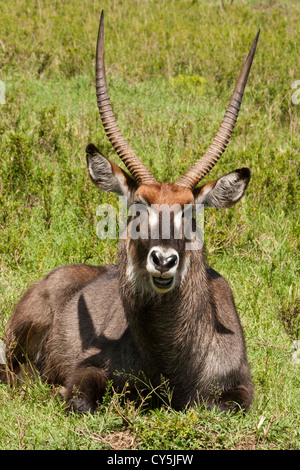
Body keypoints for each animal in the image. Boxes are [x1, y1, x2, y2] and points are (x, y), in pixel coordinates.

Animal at [1, 11, 258, 412]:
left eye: (191, 214)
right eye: (137, 207)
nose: (163, 261)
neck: (170, 362)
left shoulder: (242, 389)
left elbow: (226, 405)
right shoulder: (87, 370)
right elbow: (80, 398)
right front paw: (59, 391)